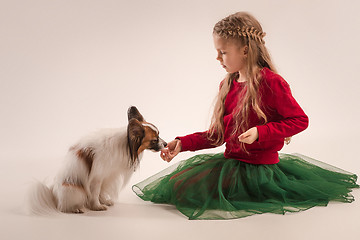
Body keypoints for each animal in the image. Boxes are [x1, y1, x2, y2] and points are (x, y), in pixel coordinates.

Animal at [27, 107, 166, 214]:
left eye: (159, 136)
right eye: (154, 140)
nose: (165, 144)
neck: (126, 144)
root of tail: (53, 194)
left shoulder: (106, 175)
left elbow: (100, 192)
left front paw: (103, 201)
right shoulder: (97, 177)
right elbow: (95, 193)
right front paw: (97, 206)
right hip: (75, 190)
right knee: (63, 207)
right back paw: (75, 208)